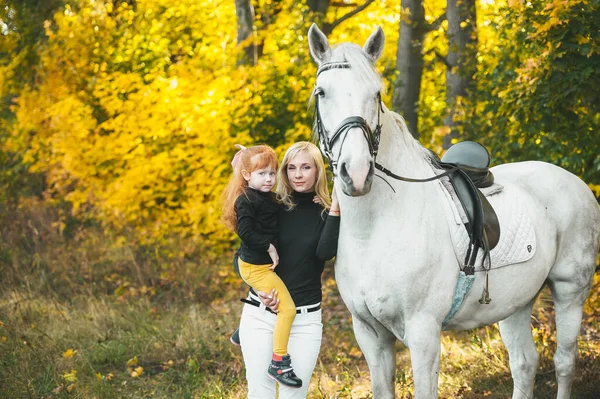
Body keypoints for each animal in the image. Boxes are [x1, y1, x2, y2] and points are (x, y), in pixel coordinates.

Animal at [310, 23, 600, 398]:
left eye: (376, 94)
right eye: (322, 93)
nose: (356, 173)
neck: (374, 230)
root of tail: (576, 183)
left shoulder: (423, 334)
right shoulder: (371, 335)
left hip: (570, 290)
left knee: (564, 362)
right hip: (517, 302)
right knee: (524, 364)